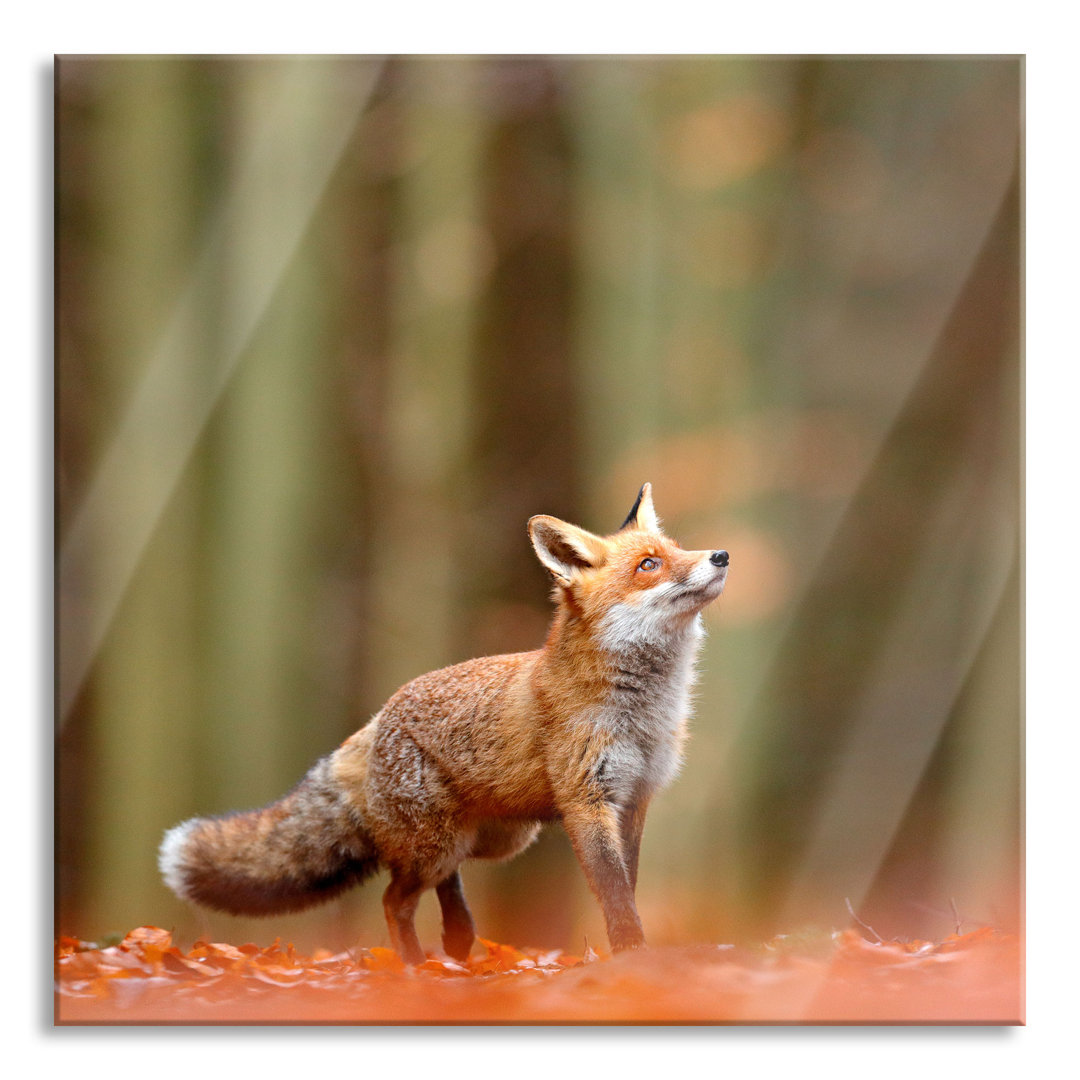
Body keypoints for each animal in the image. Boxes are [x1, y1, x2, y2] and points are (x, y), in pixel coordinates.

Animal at [159, 486, 730, 967]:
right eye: (649, 564)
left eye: (677, 548)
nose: (720, 556)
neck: (643, 713)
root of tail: (377, 719)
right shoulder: (587, 801)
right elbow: (614, 895)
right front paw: (632, 956)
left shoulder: (635, 799)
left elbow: (626, 887)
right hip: (439, 844)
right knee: (394, 900)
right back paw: (415, 968)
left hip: (494, 838)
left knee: (442, 883)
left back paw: (457, 939)